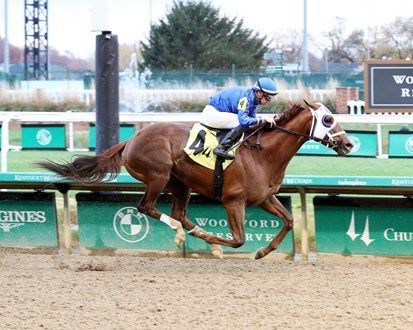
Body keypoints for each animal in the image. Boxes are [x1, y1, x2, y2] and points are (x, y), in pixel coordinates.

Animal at [36, 100, 350, 258]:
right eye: (328, 120)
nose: (348, 144)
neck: (263, 153)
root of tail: (131, 139)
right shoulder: (233, 201)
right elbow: (238, 239)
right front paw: (219, 241)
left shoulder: (264, 198)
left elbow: (289, 220)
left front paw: (263, 251)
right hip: (158, 175)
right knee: (147, 208)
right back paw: (185, 235)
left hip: (181, 183)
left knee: (179, 213)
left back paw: (200, 237)